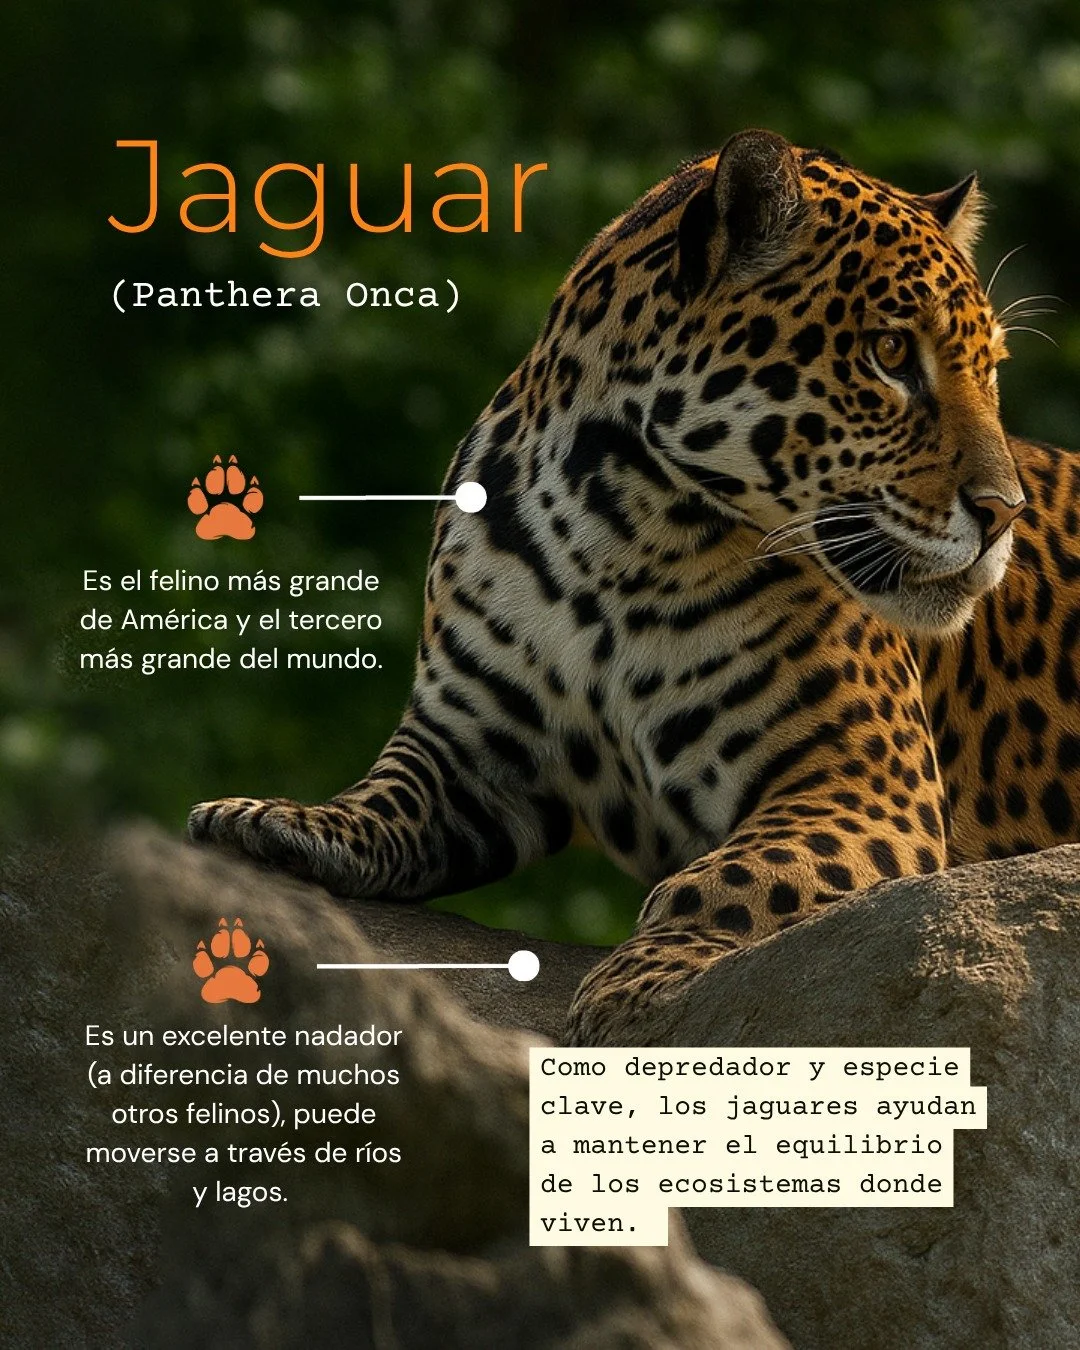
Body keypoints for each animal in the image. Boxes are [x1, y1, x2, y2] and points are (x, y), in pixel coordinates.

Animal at [189, 129, 1080, 1046]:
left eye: (991, 369)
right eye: (892, 353)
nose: (1002, 513)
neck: (620, 536)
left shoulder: (864, 781)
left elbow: (725, 881)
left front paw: (638, 989)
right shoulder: (469, 748)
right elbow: (386, 792)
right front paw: (280, 821)